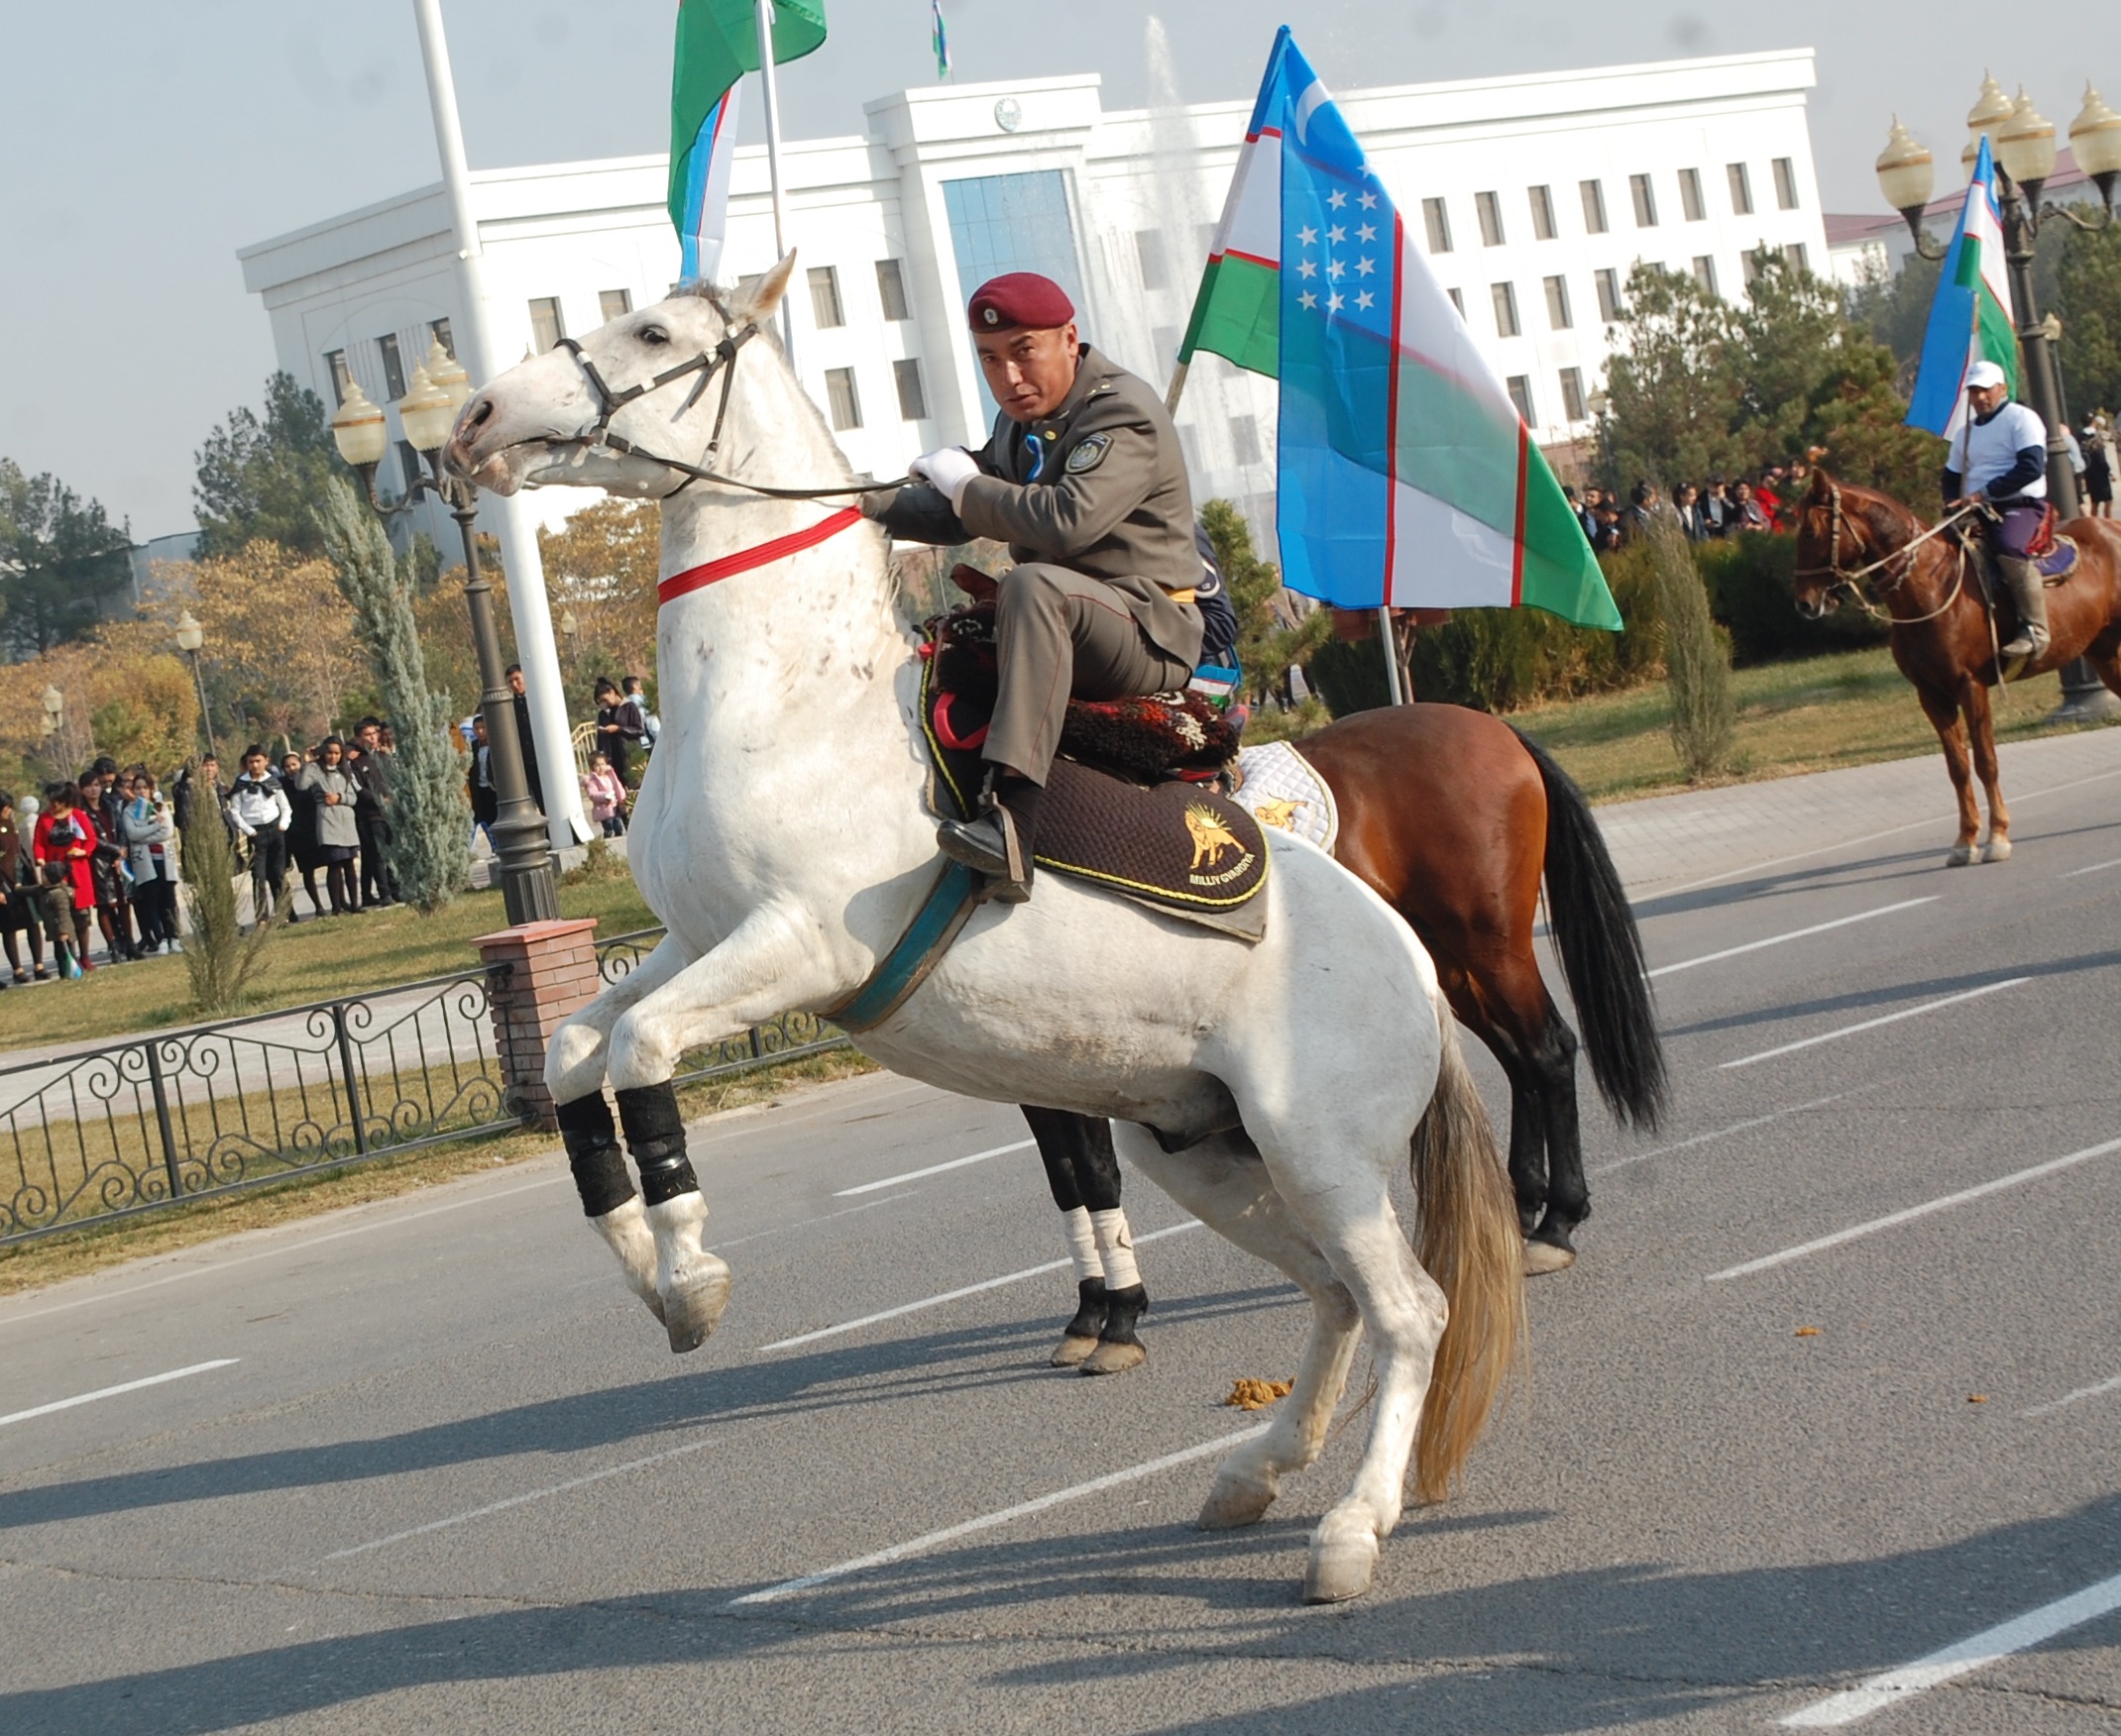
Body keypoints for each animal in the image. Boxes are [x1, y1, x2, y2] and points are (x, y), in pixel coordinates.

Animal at [447, 257, 1526, 1602]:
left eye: (649, 332)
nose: (476, 418)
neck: (781, 706)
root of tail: (1412, 966)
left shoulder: (796, 950)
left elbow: (640, 1052)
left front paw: (690, 1273)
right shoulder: (692, 944)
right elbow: (573, 1054)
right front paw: (647, 1266)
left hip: (1320, 1153)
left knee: (1408, 1312)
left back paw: (1351, 1528)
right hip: (1204, 1153)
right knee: (1333, 1298)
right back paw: (1253, 1472)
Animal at [1031, 704, 1671, 1373]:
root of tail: (1490, 726)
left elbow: (1096, 1175)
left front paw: (1120, 1317)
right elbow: (1066, 1181)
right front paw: (1090, 1312)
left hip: (1489, 946)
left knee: (1547, 1051)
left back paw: (1556, 1223)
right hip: (1447, 964)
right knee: (1520, 1060)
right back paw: (1519, 1210)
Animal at [1790, 473, 2121, 864]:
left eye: (1811, 531)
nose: (1804, 602)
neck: (1931, 587)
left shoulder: (1970, 687)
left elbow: (1985, 761)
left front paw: (1997, 836)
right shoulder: (1932, 695)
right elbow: (1958, 767)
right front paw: (1965, 840)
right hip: (2105, 653)